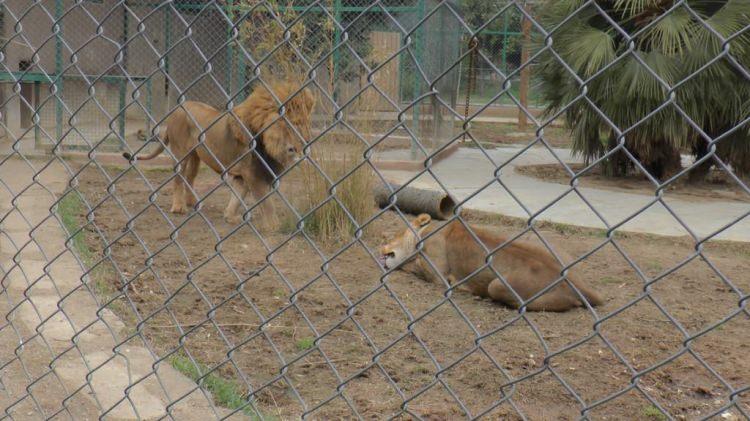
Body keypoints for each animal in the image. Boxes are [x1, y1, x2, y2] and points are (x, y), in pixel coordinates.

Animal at [125, 83, 312, 225]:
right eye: (288, 125)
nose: (296, 148)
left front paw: (230, 216)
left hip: (196, 156)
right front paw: (274, 226)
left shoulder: (243, 174)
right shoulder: (253, 173)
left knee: (190, 177)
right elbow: (267, 203)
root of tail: (176, 109)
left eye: (302, 125)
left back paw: (193, 202)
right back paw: (179, 207)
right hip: (180, 153)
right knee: (179, 178)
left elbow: (237, 196)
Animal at [382, 215, 604, 310]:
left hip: (497, 285)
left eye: (395, 234)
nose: (381, 247)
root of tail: (577, 284)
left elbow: (413, 266)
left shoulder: (437, 274)